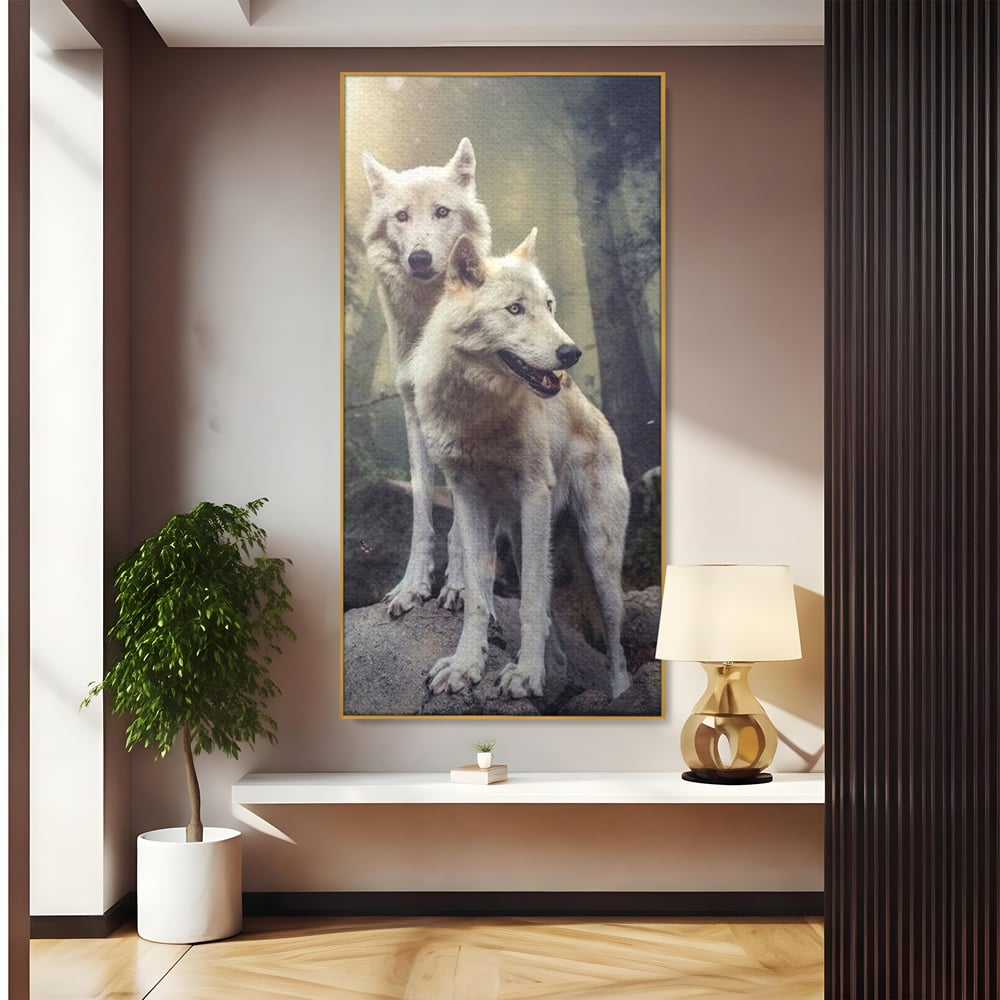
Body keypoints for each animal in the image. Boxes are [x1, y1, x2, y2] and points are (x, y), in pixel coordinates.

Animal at [361, 138, 492, 617]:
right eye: (402, 216)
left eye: (441, 212)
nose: (419, 258)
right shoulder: (414, 416)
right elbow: (421, 512)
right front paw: (411, 586)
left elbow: (462, 520)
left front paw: (458, 586)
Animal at [408, 229, 632, 700]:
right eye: (515, 309)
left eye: (548, 305)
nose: (571, 353)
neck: (478, 411)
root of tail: (601, 419)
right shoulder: (467, 498)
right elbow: (478, 595)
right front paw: (466, 666)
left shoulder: (533, 493)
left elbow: (527, 600)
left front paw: (526, 675)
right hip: (522, 534)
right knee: (550, 617)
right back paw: (557, 671)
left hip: (599, 558)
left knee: (615, 642)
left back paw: (620, 694)